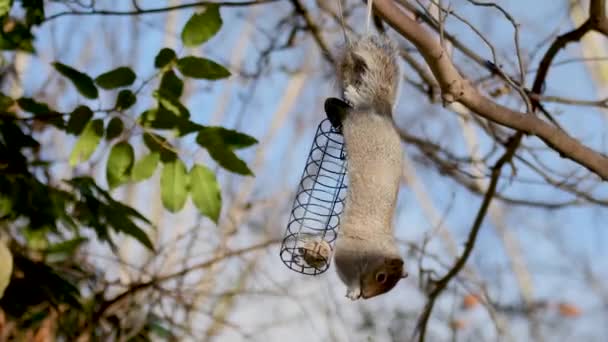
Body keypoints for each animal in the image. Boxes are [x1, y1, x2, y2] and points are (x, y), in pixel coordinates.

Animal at [326, 32, 406, 300]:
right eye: (381, 276)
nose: (366, 297)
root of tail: (383, 113)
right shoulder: (347, 254)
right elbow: (347, 274)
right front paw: (353, 290)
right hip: (359, 122)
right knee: (348, 108)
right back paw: (347, 99)